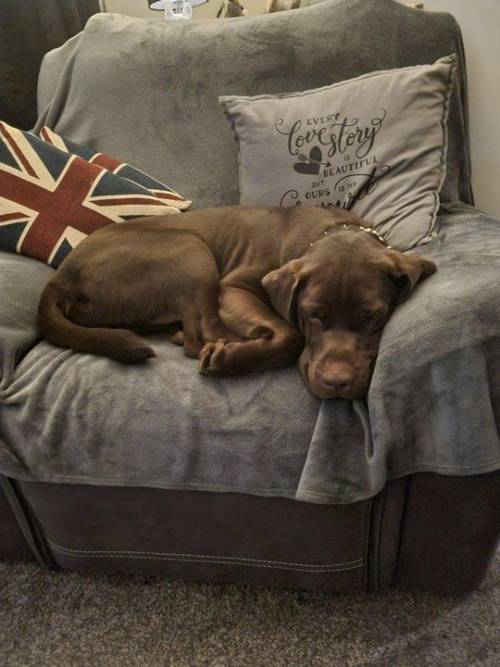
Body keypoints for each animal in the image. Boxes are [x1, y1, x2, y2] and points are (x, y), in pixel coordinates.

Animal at [37, 206, 436, 400]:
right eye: (312, 315)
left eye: (373, 317)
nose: (336, 383)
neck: (335, 230)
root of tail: (61, 277)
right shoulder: (235, 287)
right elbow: (289, 335)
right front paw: (235, 357)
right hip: (190, 249)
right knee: (201, 332)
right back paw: (223, 348)